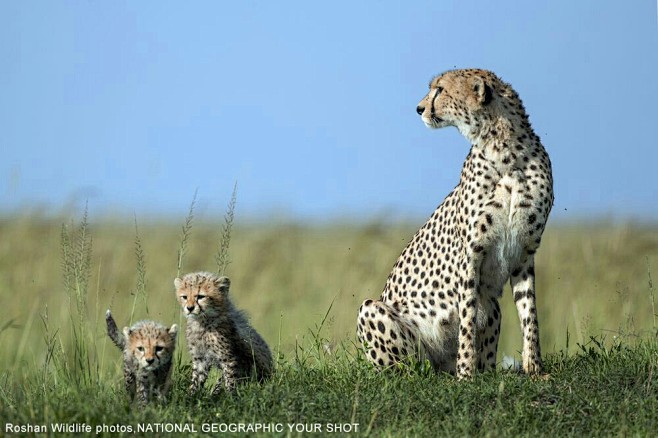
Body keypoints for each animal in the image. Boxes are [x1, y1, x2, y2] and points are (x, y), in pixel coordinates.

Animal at [356, 69, 552, 380]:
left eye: (440, 89)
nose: (419, 108)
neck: (506, 153)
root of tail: (439, 367)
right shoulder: (471, 254)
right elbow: (467, 317)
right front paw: (465, 375)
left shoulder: (524, 253)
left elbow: (529, 313)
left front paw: (534, 369)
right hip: (374, 312)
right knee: (411, 368)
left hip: (493, 307)